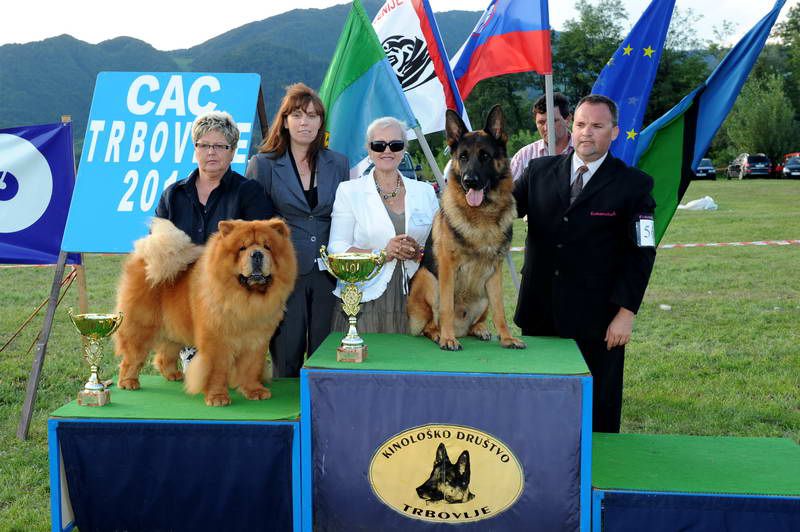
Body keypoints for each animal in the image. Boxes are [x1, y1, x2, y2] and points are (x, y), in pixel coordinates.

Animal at [113, 218, 296, 406]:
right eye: (242, 248)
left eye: (267, 247)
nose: (257, 254)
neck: (246, 300)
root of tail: (144, 259)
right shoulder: (217, 342)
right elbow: (216, 371)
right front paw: (218, 398)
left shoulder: (256, 342)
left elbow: (251, 368)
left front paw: (255, 391)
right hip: (140, 328)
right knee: (132, 358)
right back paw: (128, 382)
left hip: (173, 331)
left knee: (164, 355)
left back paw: (173, 375)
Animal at [410, 106, 528, 352]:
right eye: (462, 157)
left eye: (485, 156)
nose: (469, 181)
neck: (482, 214)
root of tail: (461, 329)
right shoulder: (447, 267)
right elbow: (446, 307)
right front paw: (447, 339)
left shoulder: (495, 271)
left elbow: (500, 311)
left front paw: (506, 338)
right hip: (427, 279)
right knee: (429, 323)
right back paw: (439, 333)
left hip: (482, 295)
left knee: (479, 320)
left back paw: (479, 329)